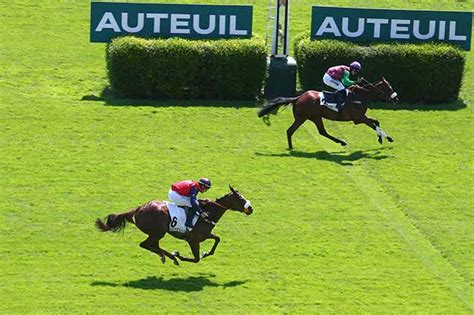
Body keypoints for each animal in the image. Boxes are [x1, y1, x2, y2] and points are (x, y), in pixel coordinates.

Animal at [94, 186, 254, 268]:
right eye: (241, 199)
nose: (251, 209)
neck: (208, 213)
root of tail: (138, 209)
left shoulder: (203, 236)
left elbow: (217, 239)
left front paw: (206, 253)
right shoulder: (193, 240)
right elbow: (196, 259)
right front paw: (180, 255)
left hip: (157, 233)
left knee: (152, 245)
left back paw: (167, 256)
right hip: (158, 232)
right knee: (145, 244)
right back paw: (171, 256)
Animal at [258, 78, 398, 149]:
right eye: (389, 87)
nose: (396, 99)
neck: (360, 96)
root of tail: (297, 98)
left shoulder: (360, 118)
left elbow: (376, 123)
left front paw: (385, 138)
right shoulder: (358, 118)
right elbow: (374, 123)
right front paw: (383, 138)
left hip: (302, 118)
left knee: (290, 131)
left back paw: (291, 147)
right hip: (315, 117)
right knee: (322, 132)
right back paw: (342, 142)